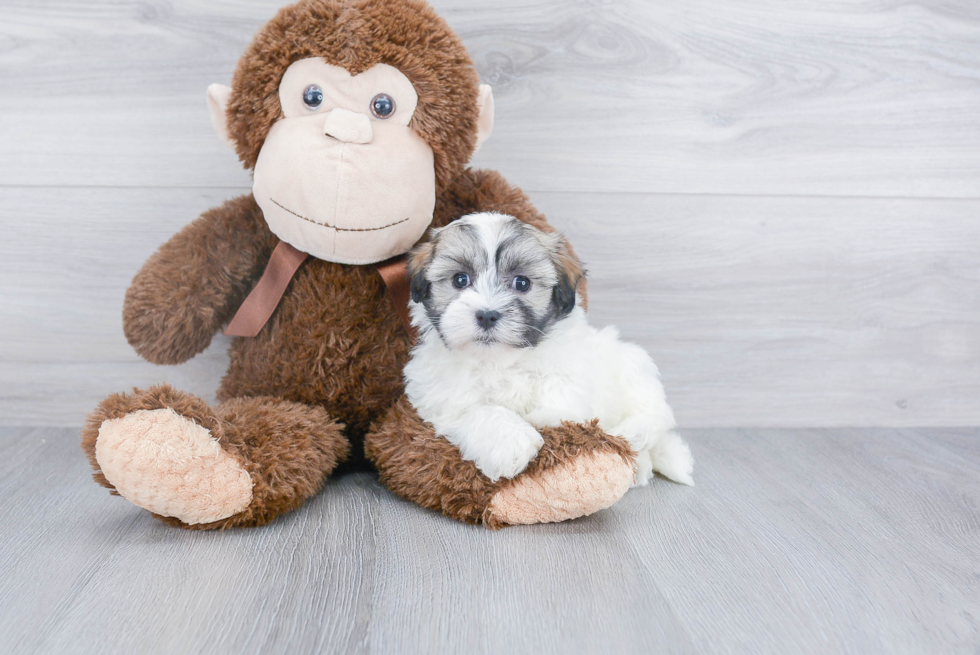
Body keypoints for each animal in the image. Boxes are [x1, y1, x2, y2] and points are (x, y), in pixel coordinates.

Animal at [402, 213, 692, 490]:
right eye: (460, 279)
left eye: (522, 283)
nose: (487, 315)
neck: (500, 361)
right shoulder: (441, 398)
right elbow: (480, 411)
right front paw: (512, 443)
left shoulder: (570, 369)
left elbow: (561, 398)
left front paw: (542, 421)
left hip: (631, 366)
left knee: (654, 416)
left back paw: (632, 438)